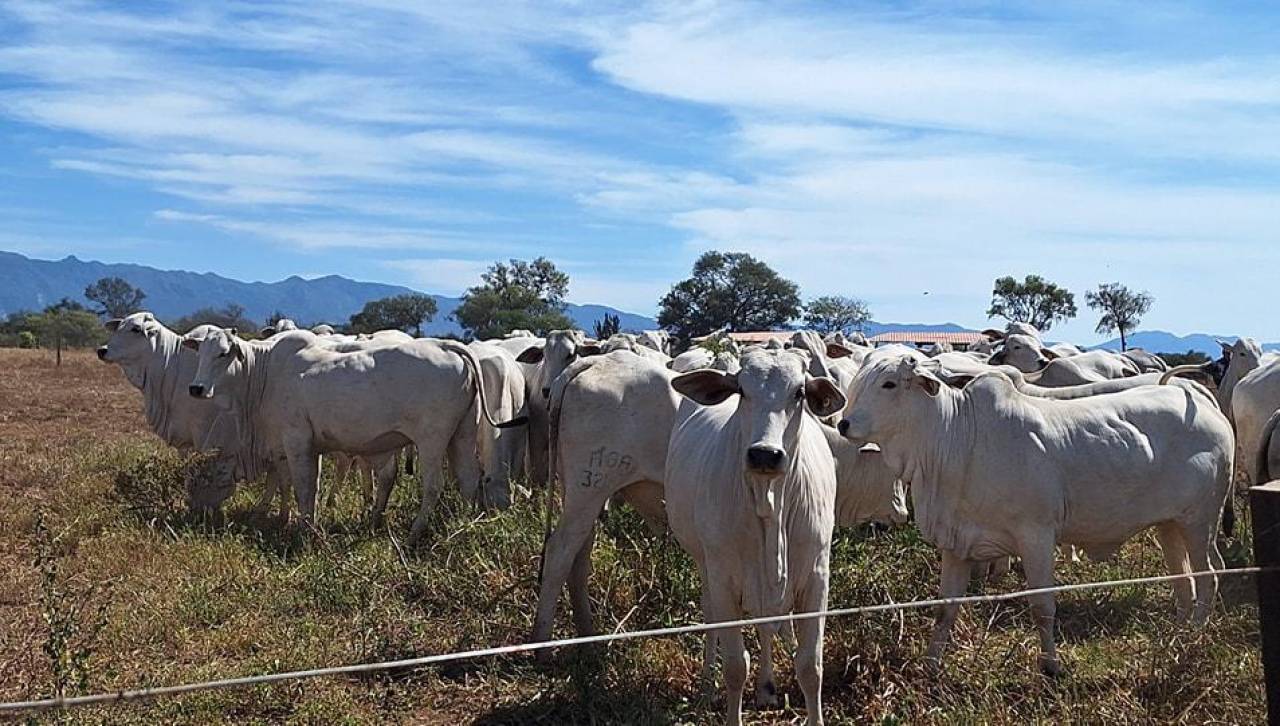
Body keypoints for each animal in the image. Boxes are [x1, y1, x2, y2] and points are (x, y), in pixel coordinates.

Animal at [184, 330, 519, 540]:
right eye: (200, 353)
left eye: (223, 354)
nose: (196, 388)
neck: (265, 374)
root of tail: (448, 346)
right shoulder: (308, 447)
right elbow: (306, 486)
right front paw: (297, 519)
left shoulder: (295, 441)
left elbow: (301, 486)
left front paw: (304, 528)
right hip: (461, 436)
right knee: (469, 480)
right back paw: (462, 524)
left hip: (432, 440)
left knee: (434, 485)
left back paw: (415, 531)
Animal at [665, 348, 844, 722]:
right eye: (742, 391)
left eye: (799, 393)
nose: (765, 454)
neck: (770, 507)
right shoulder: (723, 579)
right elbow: (735, 667)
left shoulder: (817, 577)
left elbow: (810, 667)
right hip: (706, 567)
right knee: (712, 621)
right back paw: (706, 688)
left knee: (765, 625)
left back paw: (766, 688)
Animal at [834, 358, 1233, 676]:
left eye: (888, 384)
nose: (844, 424)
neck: (957, 440)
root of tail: (1200, 401)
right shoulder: (957, 542)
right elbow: (945, 609)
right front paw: (930, 666)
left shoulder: (1036, 536)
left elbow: (1042, 607)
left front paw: (1050, 665)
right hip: (1171, 525)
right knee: (1184, 582)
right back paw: (1178, 635)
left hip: (1200, 522)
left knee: (1210, 576)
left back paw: (1193, 639)